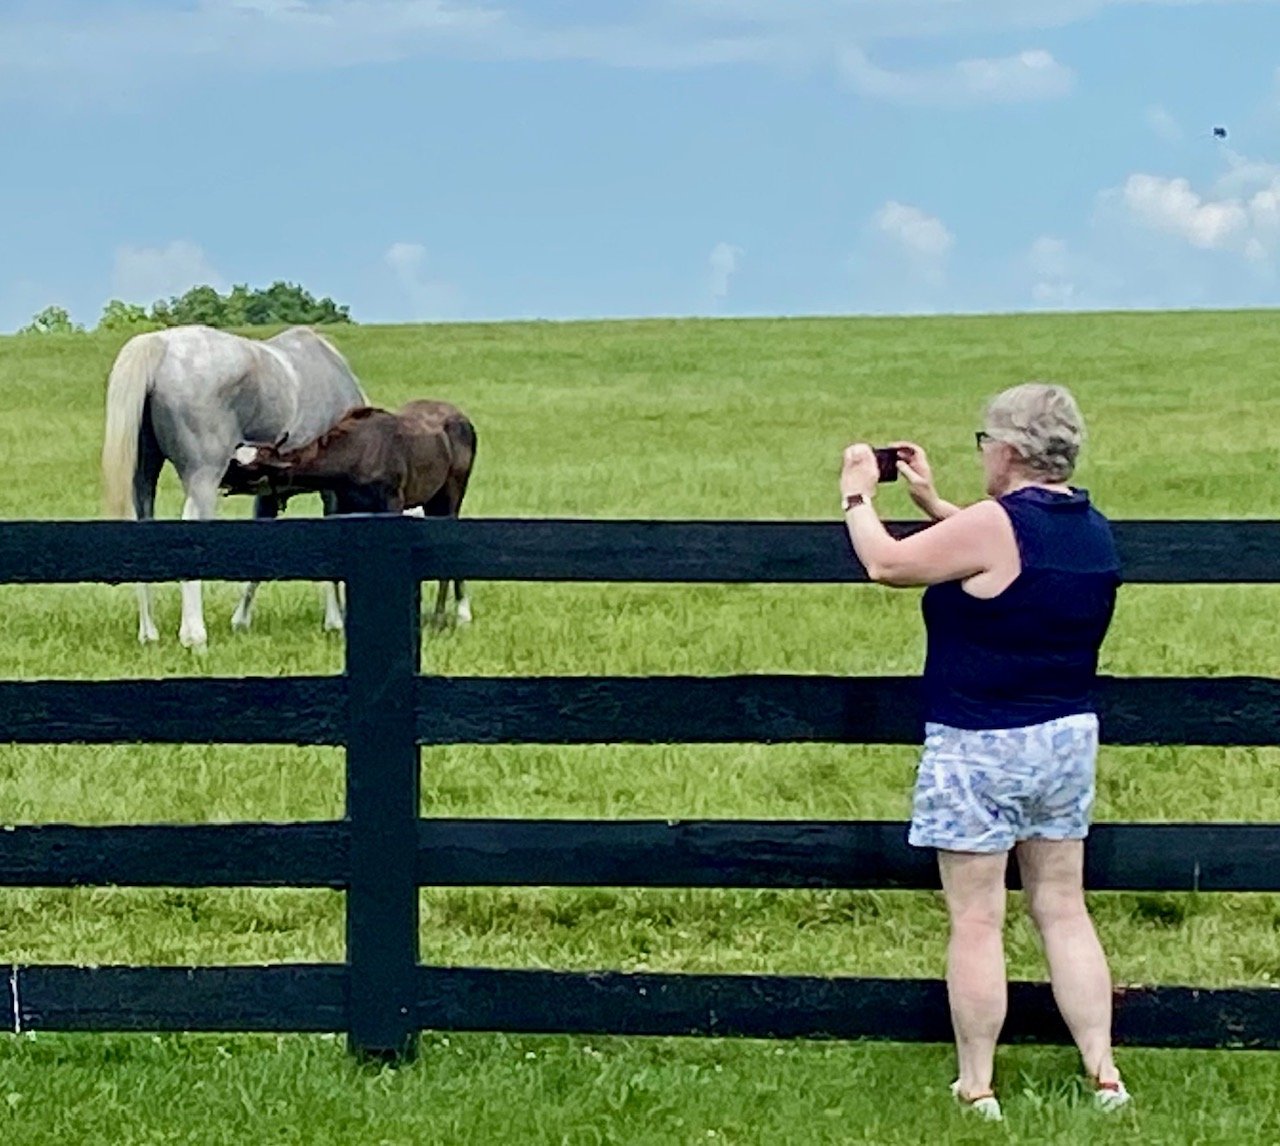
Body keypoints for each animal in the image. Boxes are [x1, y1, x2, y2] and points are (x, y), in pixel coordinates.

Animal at [100, 324, 368, 649]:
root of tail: (162, 346)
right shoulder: (331, 494)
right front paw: (334, 621)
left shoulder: (268, 498)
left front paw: (241, 620)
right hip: (203, 479)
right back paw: (194, 635)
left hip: (143, 479)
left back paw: (148, 633)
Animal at [220, 399, 477, 628]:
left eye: (248, 467)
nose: (220, 476)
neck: (350, 462)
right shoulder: (345, 508)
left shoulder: (392, 502)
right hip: (432, 501)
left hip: (452, 494)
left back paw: (451, 616)